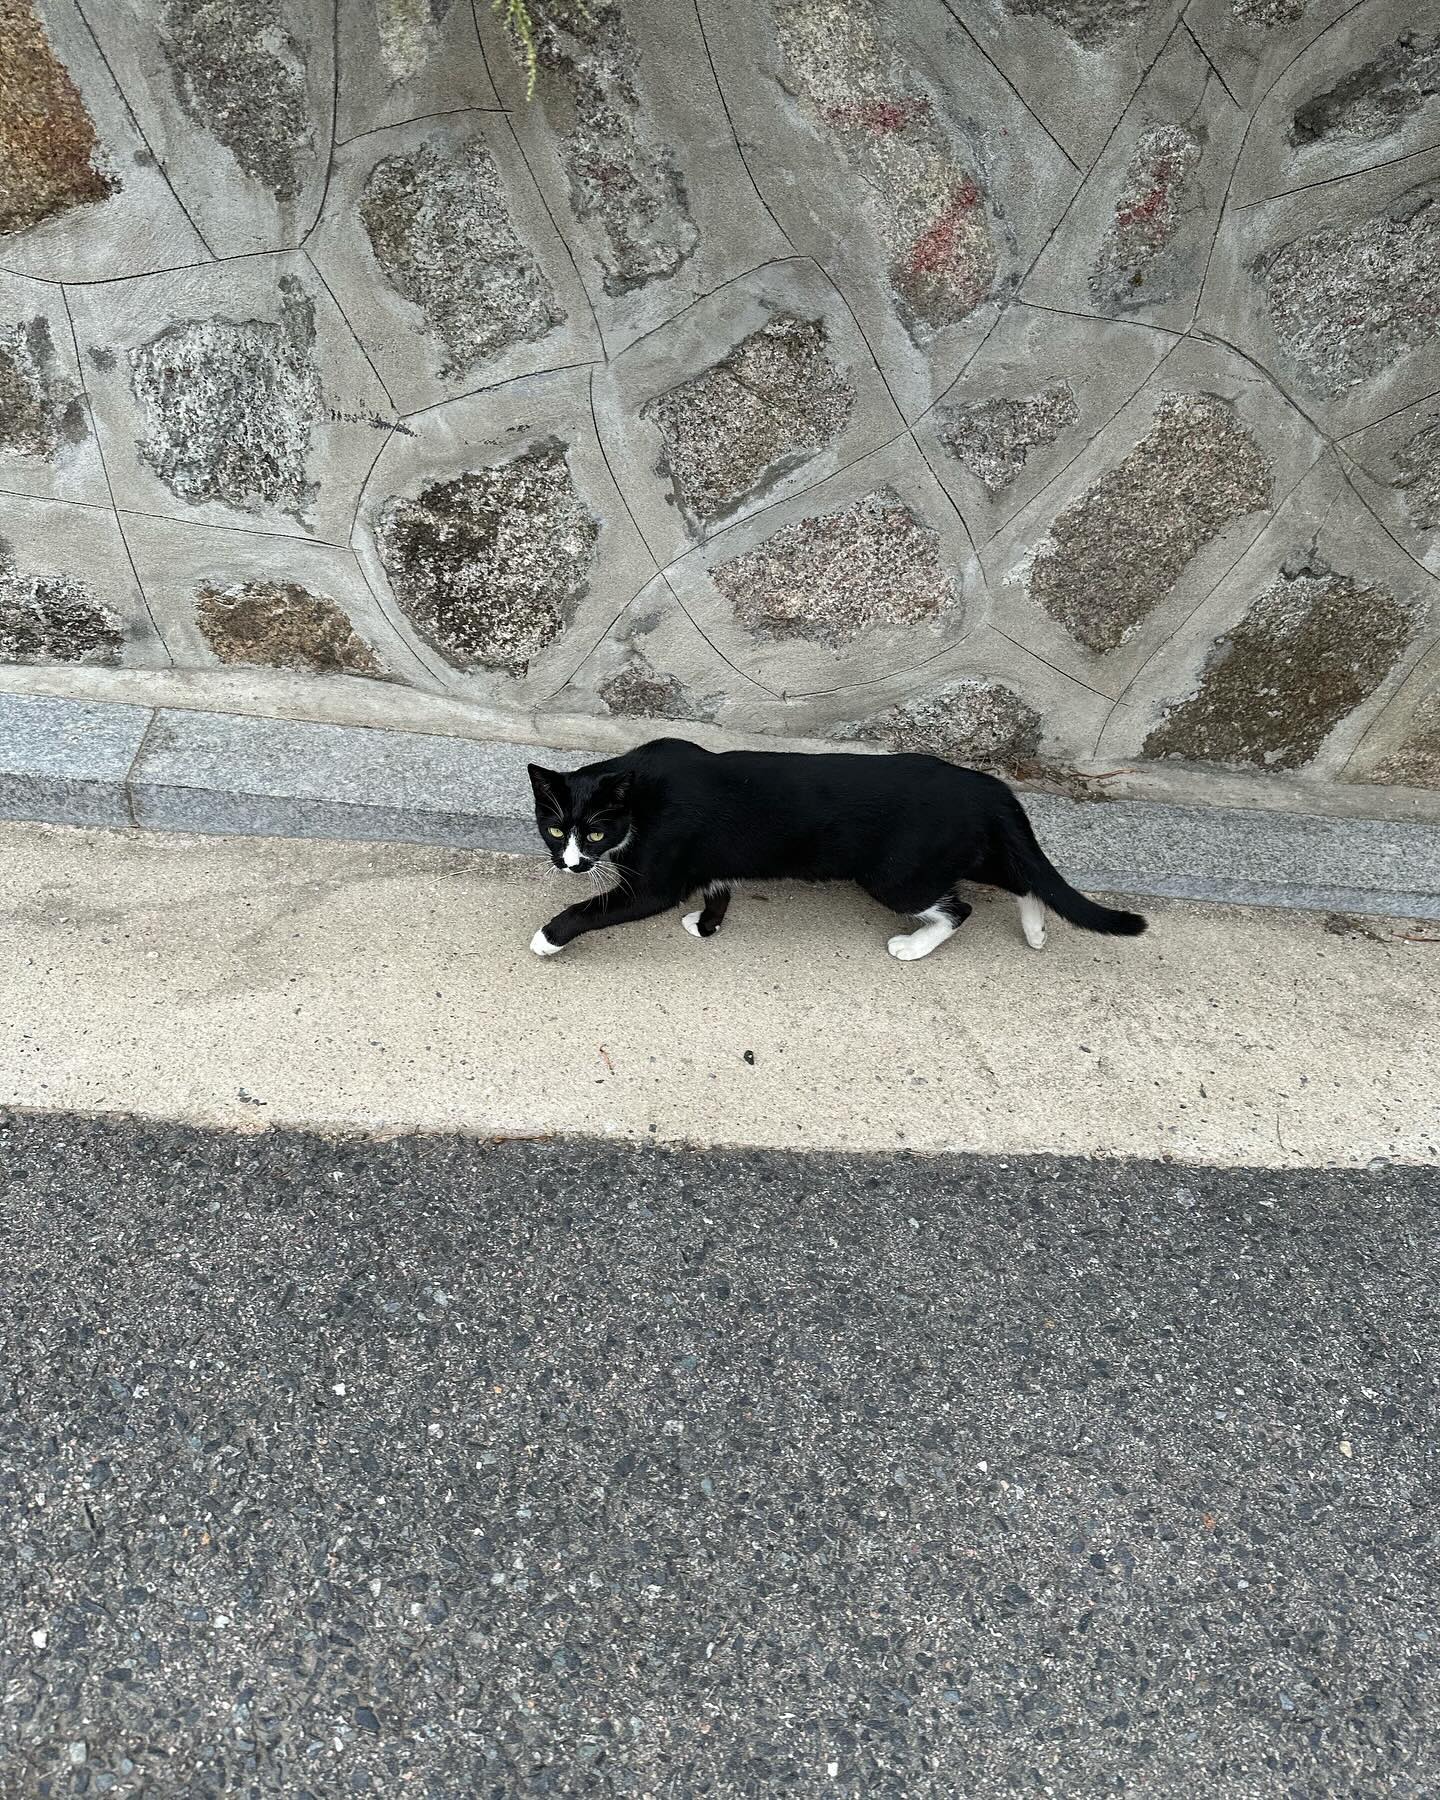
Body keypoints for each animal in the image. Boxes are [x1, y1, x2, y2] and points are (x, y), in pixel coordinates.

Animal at [522, 734, 1144, 957]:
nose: (569, 863)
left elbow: (597, 908)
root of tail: (984, 784)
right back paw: (1035, 930)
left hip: (899, 873)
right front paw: (707, 925)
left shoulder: (655, 881)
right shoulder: (714, 861)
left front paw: (548, 937)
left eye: (594, 832)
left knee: (961, 906)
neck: (642, 795)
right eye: (553, 829)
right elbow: (720, 889)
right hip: (952, 852)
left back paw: (913, 947)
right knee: (1019, 878)